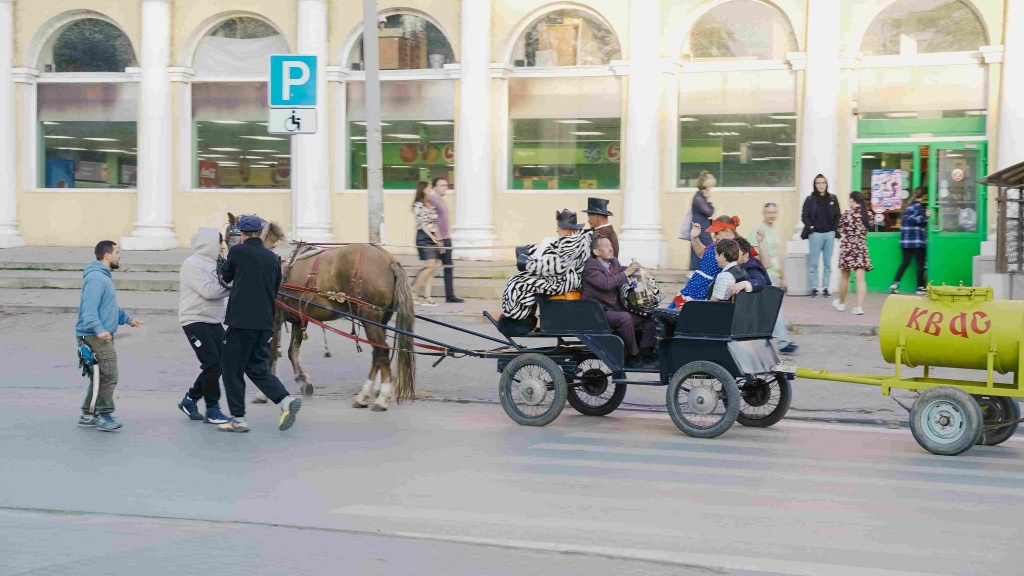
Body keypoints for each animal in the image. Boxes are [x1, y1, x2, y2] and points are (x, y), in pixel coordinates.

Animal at [222, 213, 416, 411]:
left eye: (228, 236)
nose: (225, 271)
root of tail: (389, 260)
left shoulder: (274, 318)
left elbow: (272, 352)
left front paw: (263, 393)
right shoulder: (298, 318)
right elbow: (293, 351)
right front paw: (303, 381)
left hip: (369, 316)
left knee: (381, 352)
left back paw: (381, 398)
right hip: (380, 319)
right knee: (378, 353)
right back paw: (365, 395)